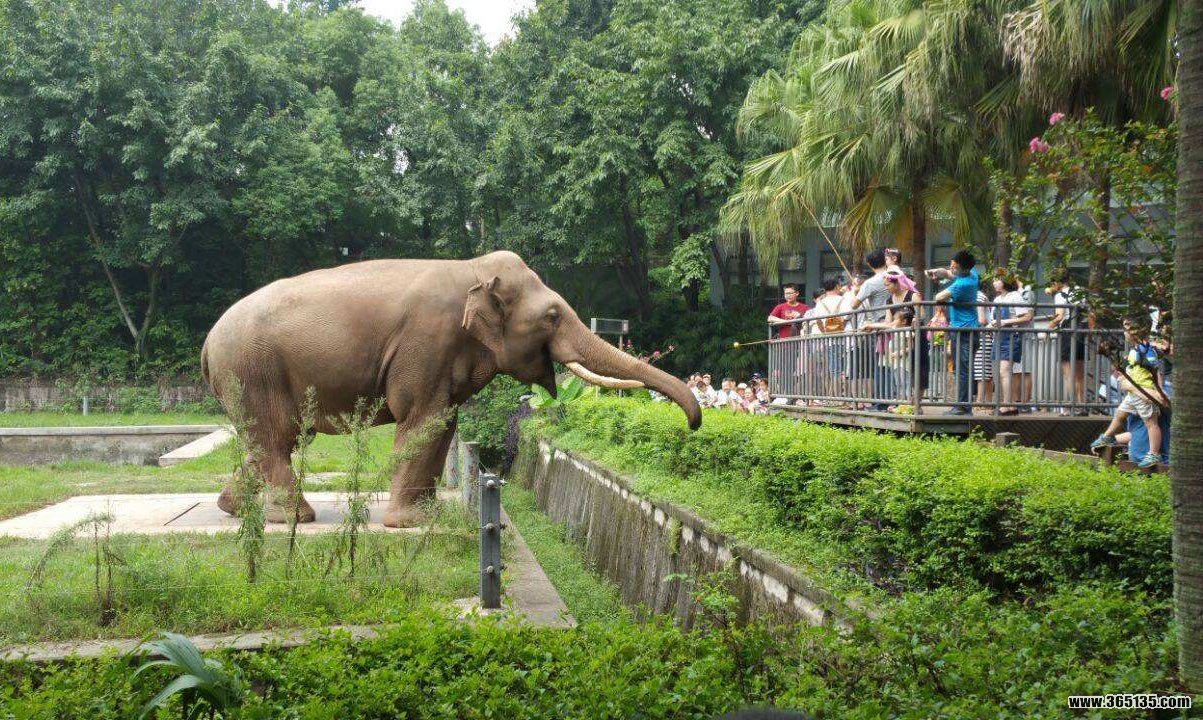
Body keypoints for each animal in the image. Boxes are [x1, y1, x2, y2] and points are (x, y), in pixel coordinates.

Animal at [200, 250, 701, 527]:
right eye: (553, 315)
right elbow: (422, 416)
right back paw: (295, 519)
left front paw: (431, 517)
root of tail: (207, 344)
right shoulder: (428, 341)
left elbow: (444, 422)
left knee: (274, 439)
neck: (473, 270)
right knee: (276, 437)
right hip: (251, 369)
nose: (694, 425)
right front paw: (408, 524)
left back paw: (235, 509)